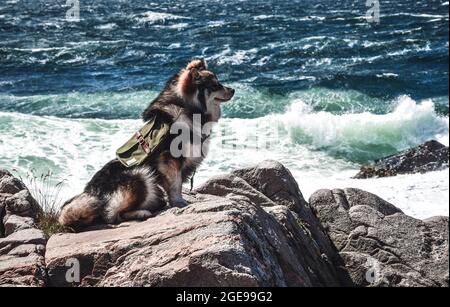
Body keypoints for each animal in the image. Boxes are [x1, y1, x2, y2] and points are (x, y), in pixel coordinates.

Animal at [59, 59, 236, 230]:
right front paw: (179, 203)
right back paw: (141, 212)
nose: (233, 90)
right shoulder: (169, 161)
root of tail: (93, 193)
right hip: (140, 176)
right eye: (215, 85)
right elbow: (175, 185)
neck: (188, 109)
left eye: (218, 82)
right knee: (113, 214)